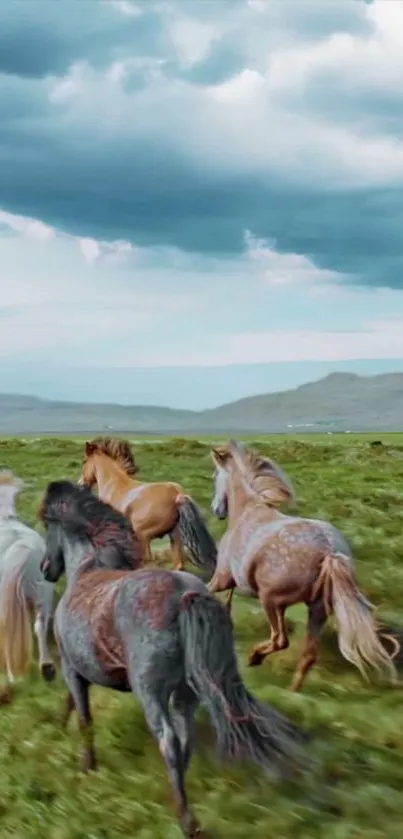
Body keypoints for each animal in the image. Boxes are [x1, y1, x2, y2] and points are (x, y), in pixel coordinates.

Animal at [39, 480, 308, 839]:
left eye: (47, 526)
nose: (45, 568)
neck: (86, 570)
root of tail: (184, 595)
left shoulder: (72, 668)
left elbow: (84, 718)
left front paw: (87, 764)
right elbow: (74, 705)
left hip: (151, 693)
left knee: (168, 739)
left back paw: (185, 819)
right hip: (187, 692)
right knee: (184, 739)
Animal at [78, 436, 218, 576]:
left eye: (84, 461)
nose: (81, 484)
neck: (113, 485)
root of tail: (176, 494)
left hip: (143, 535)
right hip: (175, 537)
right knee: (178, 565)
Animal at [210, 442, 400, 692]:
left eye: (215, 475)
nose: (216, 509)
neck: (247, 511)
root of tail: (329, 551)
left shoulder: (222, 579)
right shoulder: (233, 584)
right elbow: (225, 603)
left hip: (270, 600)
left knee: (280, 640)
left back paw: (254, 658)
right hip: (317, 609)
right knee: (307, 656)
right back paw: (292, 692)